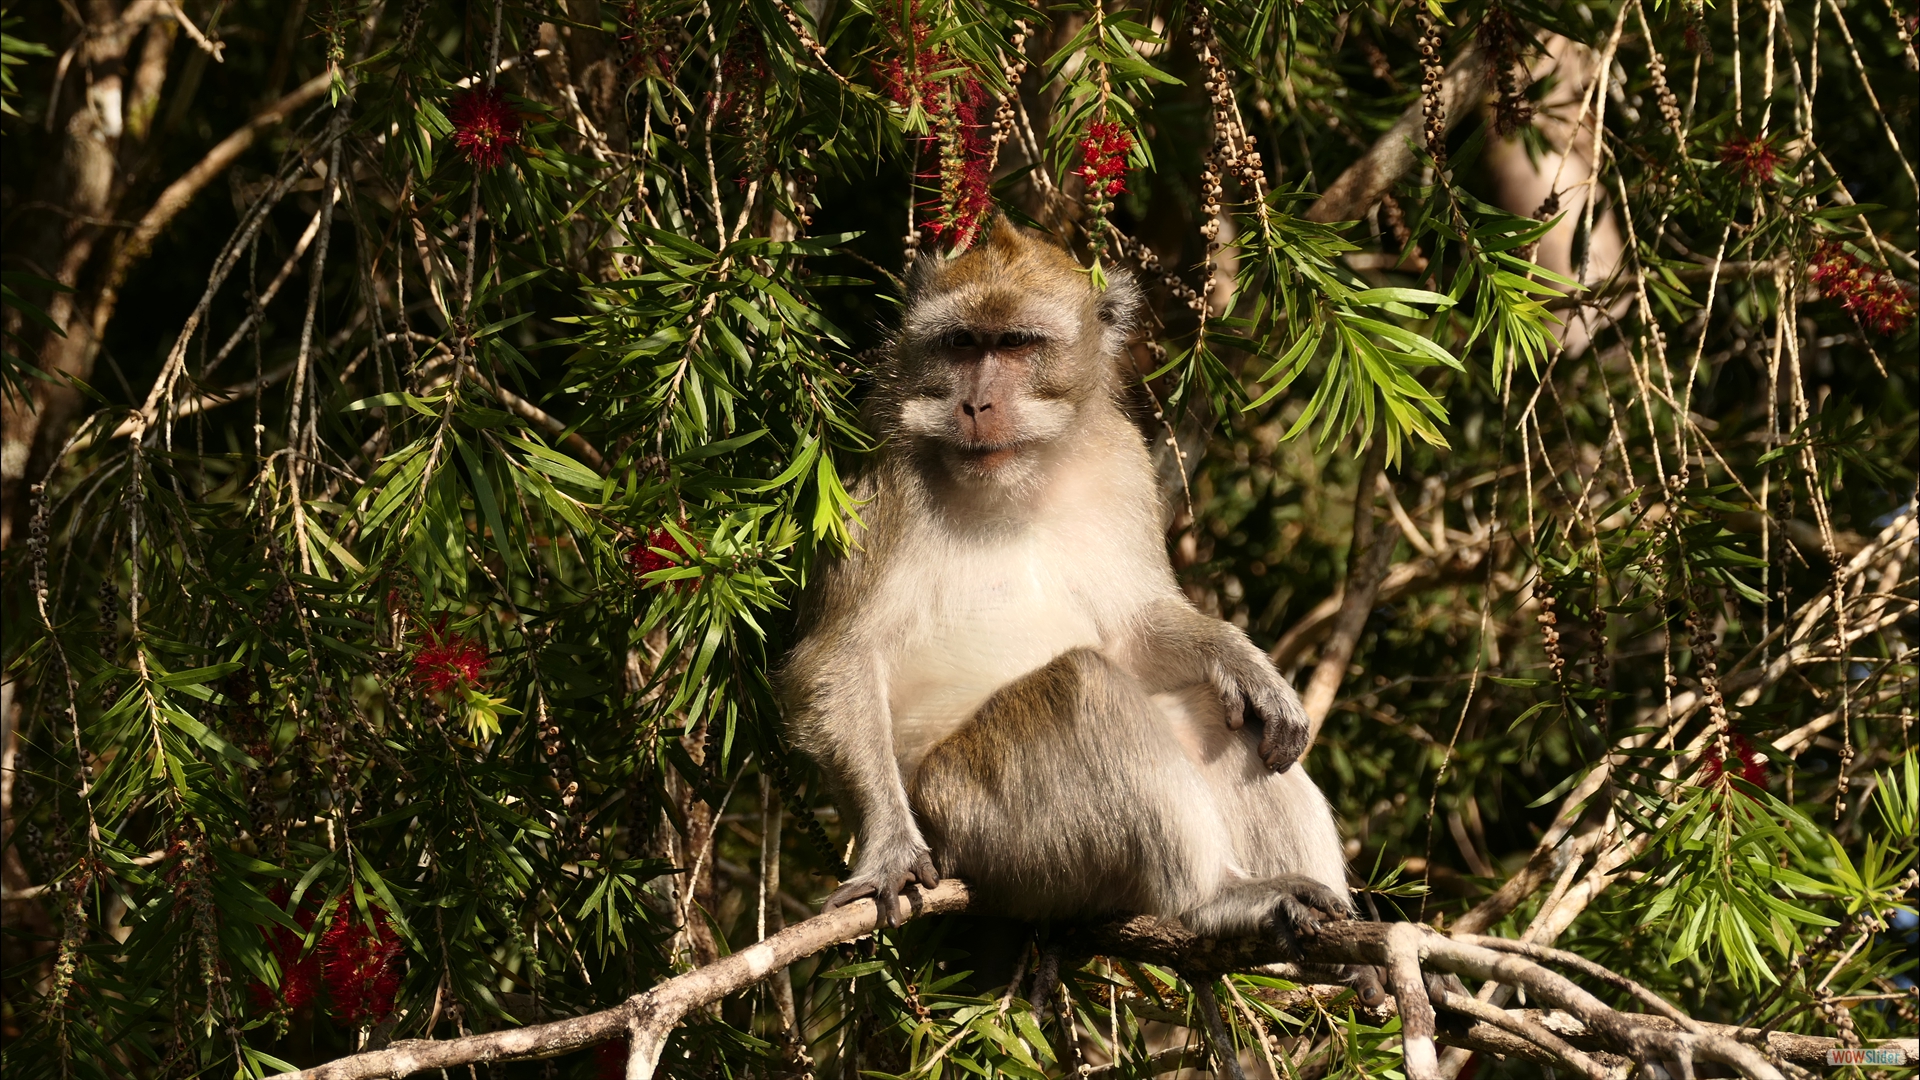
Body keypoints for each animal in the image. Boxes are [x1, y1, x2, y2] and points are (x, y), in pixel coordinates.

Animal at [779, 219, 1367, 968]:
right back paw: (1216, 901)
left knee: (1220, 717)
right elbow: (836, 659)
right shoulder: (878, 488)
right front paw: (887, 846)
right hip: (984, 824)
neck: (1018, 480)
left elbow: (1134, 626)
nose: (976, 404)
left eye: (1017, 345)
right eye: (961, 343)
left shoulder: (1121, 460)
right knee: (1082, 688)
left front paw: (1244, 662)